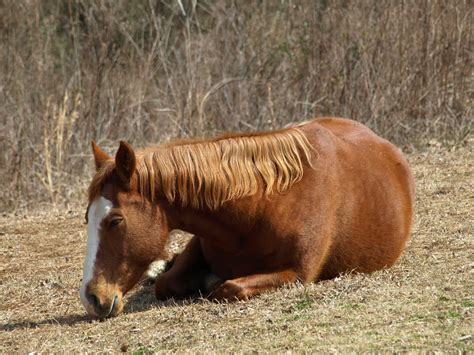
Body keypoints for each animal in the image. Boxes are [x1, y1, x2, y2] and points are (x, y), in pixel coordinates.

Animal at [80, 117, 414, 320]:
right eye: (87, 218)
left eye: (115, 220)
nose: (91, 297)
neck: (260, 208)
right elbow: (166, 283)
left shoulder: (298, 273)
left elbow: (228, 288)